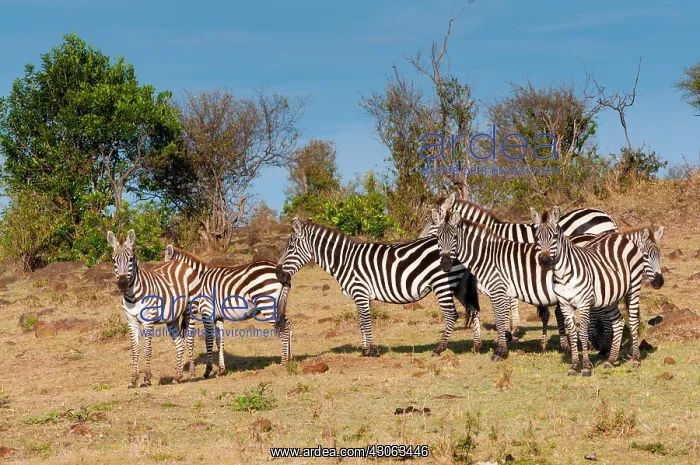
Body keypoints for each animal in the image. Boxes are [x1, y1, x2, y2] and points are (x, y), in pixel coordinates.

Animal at [107, 230, 197, 388]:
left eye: (131, 259)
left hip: (190, 310)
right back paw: (177, 377)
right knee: (180, 343)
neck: (132, 296)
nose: (123, 285)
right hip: (172, 318)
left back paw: (192, 375)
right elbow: (135, 349)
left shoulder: (148, 319)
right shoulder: (131, 321)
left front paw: (147, 380)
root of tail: (180, 263)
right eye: (113, 260)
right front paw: (133, 380)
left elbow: (147, 349)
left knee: (190, 340)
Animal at [163, 246, 292, 378]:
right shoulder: (218, 317)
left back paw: (283, 362)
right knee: (288, 325)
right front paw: (221, 369)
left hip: (267, 304)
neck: (198, 283)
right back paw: (289, 358)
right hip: (278, 305)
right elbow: (219, 340)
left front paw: (207, 371)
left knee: (284, 329)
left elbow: (208, 339)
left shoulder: (207, 312)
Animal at [275, 217, 483, 357]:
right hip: (458, 285)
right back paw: (476, 346)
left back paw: (439, 349)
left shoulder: (360, 291)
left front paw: (371, 351)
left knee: (452, 315)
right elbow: (361, 323)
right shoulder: (362, 295)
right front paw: (365, 349)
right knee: (473, 309)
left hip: (442, 284)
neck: (344, 260)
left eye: (290, 247)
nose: (278, 274)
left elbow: (366, 321)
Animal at [531, 206, 648, 376]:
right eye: (536, 237)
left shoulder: (584, 303)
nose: (544, 261)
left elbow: (583, 332)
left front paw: (586, 367)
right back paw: (610, 360)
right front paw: (574, 366)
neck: (563, 275)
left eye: (554, 236)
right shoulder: (565, 304)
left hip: (634, 288)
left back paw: (637, 360)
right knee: (618, 322)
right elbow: (573, 334)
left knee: (632, 321)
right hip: (610, 295)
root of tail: (619, 236)